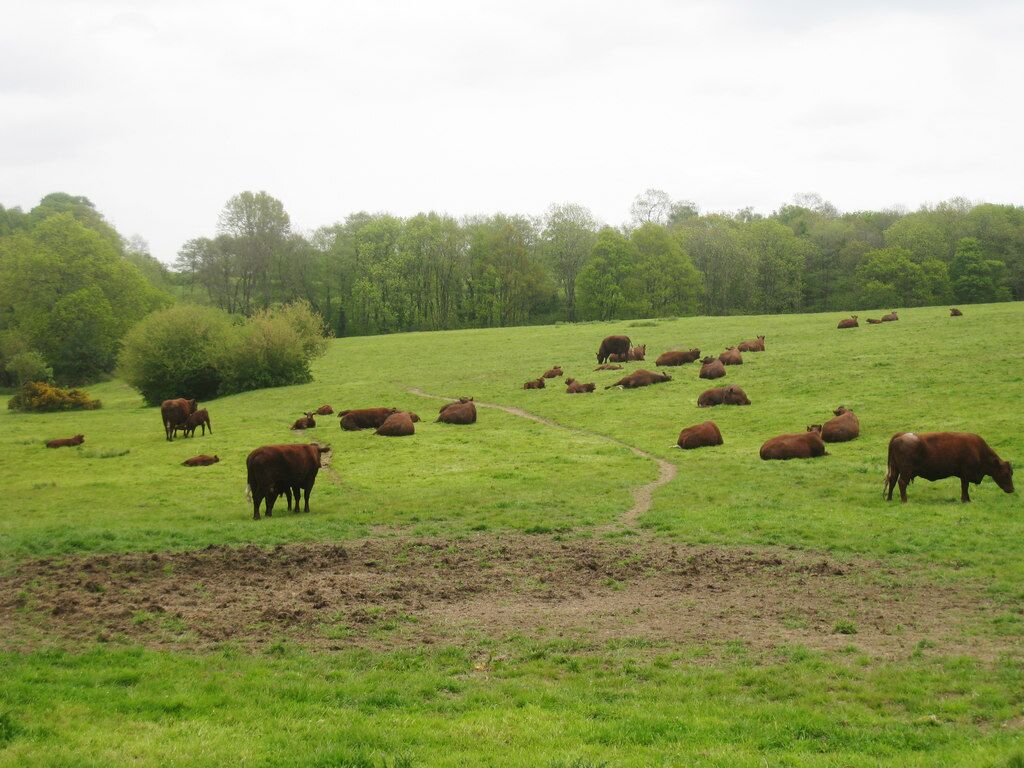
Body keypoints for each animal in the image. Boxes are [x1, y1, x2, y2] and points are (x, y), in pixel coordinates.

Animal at [884, 432, 1014, 503]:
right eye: (1006, 473)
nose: (1012, 489)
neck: (978, 451)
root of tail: (899, 436)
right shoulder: (965, 474)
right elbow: (965, 487)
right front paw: (965, 500)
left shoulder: (963, 476)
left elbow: (965, 487)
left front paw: (967, 499)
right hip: (905, 471)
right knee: (901, 482)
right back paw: (904, 501)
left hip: (895, 469)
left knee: (892, 481)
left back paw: (889, 499)